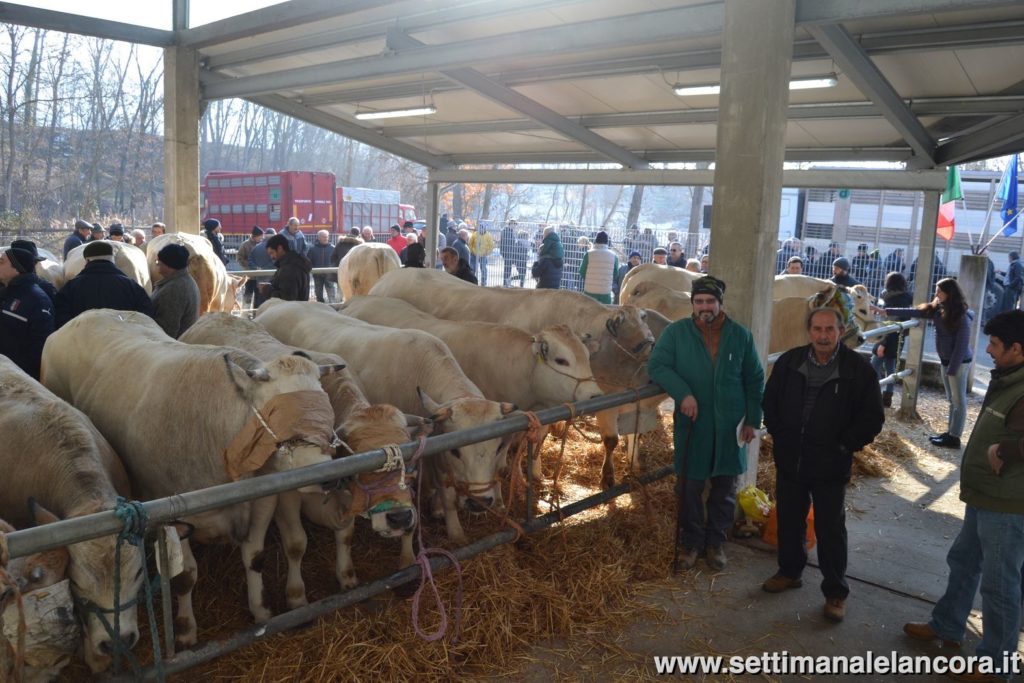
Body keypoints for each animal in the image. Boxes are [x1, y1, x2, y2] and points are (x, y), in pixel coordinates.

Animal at [41, 313, 335, 643]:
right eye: (277, 411)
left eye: (326, 405)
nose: (324, 472)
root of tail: (89, 313)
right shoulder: (170, 517)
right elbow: (184, 577)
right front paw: (184, 631)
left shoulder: (262, 502)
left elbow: (255, 557)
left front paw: (261, 611)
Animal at [180, 315, 415, 593]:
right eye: (364, 465)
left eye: (410, 460)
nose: (400, 518)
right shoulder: (285, 496)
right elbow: (296, 544)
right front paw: (296, 594)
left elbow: (346, 535)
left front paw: (347, 577)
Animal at [253, 301, 512, 544]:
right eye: (456, 451)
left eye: (499, 447)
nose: (480, 502)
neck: (421, 371)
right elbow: (444, 492)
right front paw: (453, 528)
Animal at [370, 268, 655, 491]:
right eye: (630, 333)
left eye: (645, 323)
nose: (651, 344)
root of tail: (387, 278)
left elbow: (539, 437)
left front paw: (535, 473)